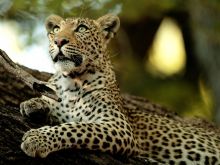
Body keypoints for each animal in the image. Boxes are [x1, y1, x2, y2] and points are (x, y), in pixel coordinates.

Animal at [19, 13, 220, 164]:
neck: (71, 82)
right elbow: (53, 105)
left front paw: (37, 139)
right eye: (55, 30)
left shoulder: (118, 126)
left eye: (82, 28)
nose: (59, 41)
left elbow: (75, 128)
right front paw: (33, 104)